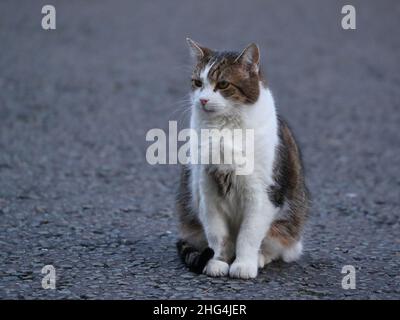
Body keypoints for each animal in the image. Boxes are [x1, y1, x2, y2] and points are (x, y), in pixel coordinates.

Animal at [175, 37, 310, 278]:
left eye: (223, 84)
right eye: (198, 83)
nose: (203, 100)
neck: (224, 129)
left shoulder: (262, 195)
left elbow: (249, 235)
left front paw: (244, 265)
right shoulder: (207, 190)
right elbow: (217, 234)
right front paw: (217, 262)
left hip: (289, 225)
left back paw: (259, 258)